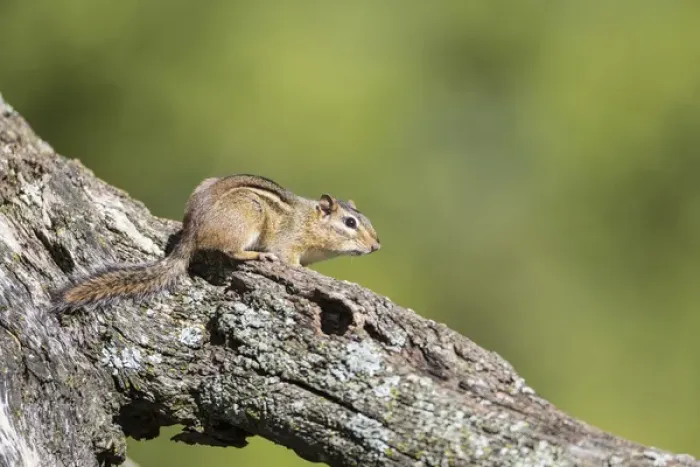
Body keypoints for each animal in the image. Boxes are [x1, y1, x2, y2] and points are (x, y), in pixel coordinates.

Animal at [53, 174, 381, 311]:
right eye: (350, 223)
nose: (376, 246)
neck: (309, 221)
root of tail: (193, 229)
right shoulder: (289, 243)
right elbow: (289, 258)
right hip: (249, 215)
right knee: (230, 250)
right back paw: (256, 256)